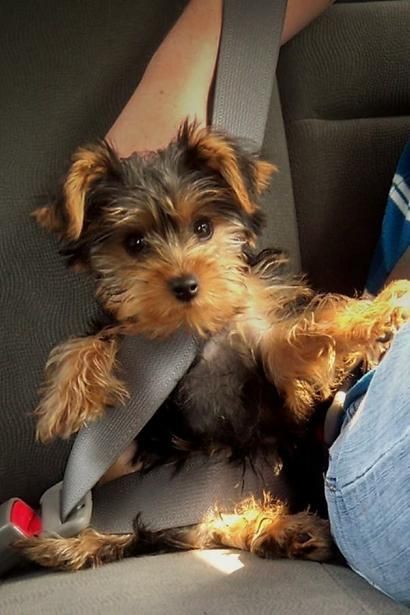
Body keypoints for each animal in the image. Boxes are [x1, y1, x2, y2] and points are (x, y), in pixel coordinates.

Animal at [18, 121, 410, 572]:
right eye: (134, 243)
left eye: (204, 227)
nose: (185, 285)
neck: (196, 331)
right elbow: (93, 338)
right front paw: (66, 401)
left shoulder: (274, 370)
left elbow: (306, 330)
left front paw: (375, 314)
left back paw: (288, 531)